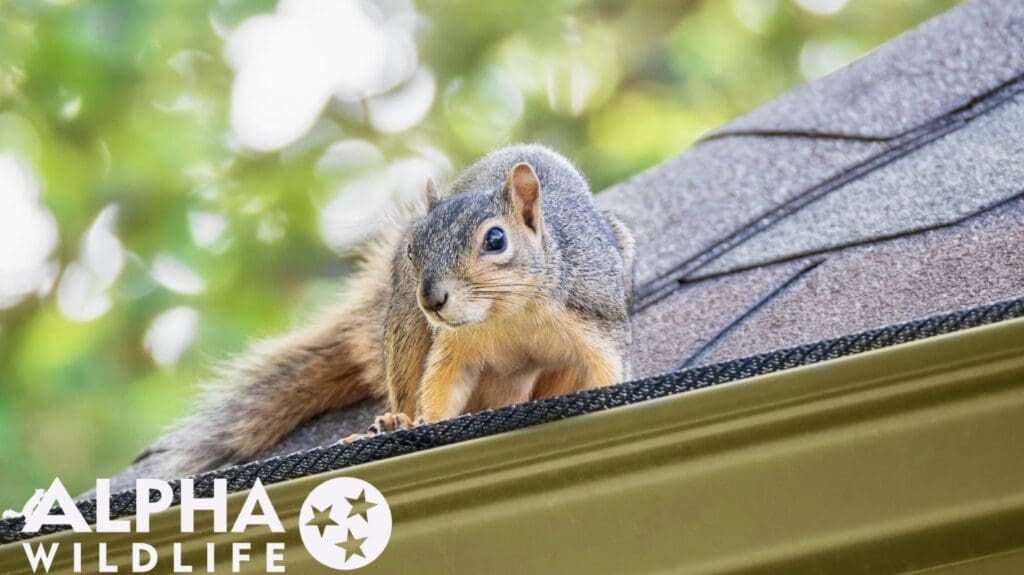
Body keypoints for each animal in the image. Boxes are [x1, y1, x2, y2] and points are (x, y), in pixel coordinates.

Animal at [139, 144, 634, 477]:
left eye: (496, 239)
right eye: (413, 246)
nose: (432, 299)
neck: (508, 314)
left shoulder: (595, 322)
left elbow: (607, 370)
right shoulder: (454, 347)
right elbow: (441, 387)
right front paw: (424, 423)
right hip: (404, 329)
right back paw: (395, 418)